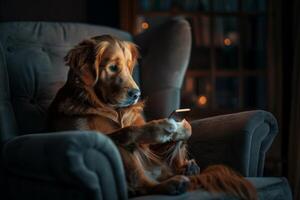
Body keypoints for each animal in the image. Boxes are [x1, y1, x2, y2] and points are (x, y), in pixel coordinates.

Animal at [47, 34, 258, 198]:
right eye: (113, 67)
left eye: (128, 67)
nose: (136, 94)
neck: (111, 109)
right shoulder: (87, 133)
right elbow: (128, 130)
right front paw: (163, 128)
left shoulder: (149, 147)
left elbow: (181, 130)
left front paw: (182, 129)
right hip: (123, 155)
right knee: (140, 184)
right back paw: (173, 183)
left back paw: (188, 169)